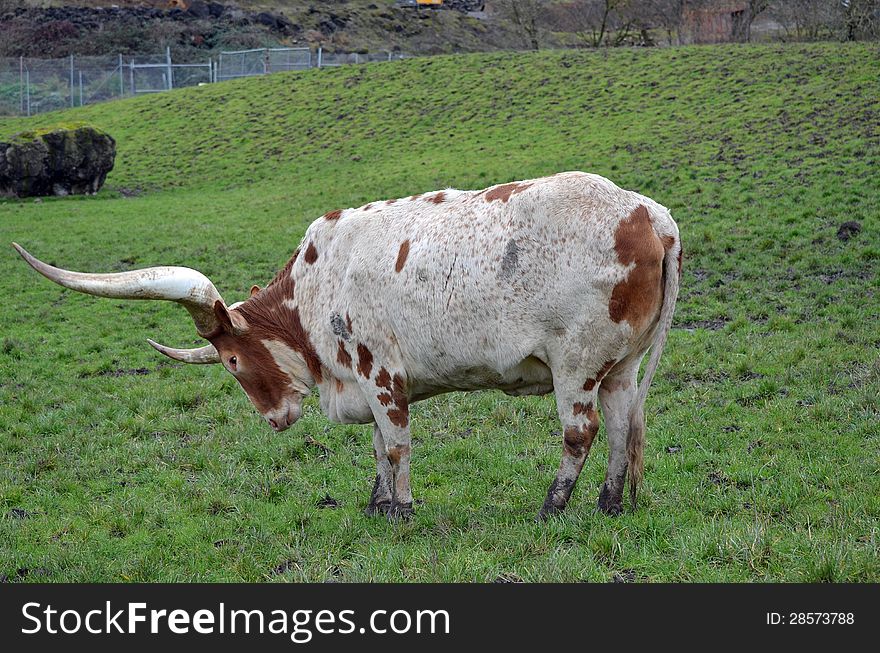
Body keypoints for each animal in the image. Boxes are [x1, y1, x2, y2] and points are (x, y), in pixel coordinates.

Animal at [13, 172, 680, 520]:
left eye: (232, 360)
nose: (276, 419)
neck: (316, 284)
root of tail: (650, 214)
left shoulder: (382, 373)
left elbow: (397, 444)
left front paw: (402, 510)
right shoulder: (362, 379)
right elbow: (379, 447)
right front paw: (377, 505)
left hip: (577, 363)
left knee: (580, 432)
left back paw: (552, 506)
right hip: (620, 366)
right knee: (623, 427)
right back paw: (610, 504)